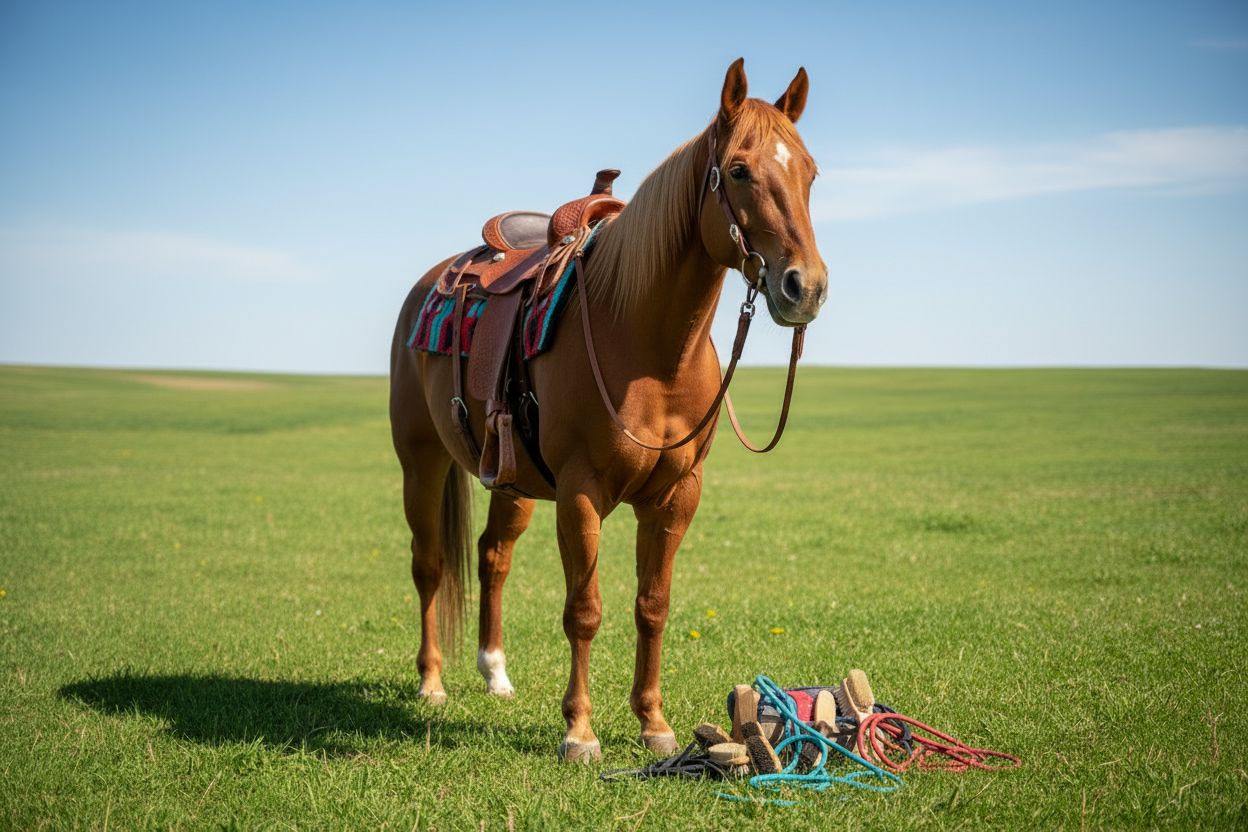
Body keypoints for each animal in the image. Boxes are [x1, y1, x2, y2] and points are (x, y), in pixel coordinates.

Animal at [389, 59, 827, 761]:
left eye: (810, 171)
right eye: (738, 170)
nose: (804, 287)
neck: (649, 347)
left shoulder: (677, 494)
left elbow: (653, 604)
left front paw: (652, 722)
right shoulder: (580, 492)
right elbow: (584, 610)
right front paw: (579, 731)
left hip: (510, 477)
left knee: (492, 556)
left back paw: (494, 672)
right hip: (421, 461)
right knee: (429, 564)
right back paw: (432, 683)